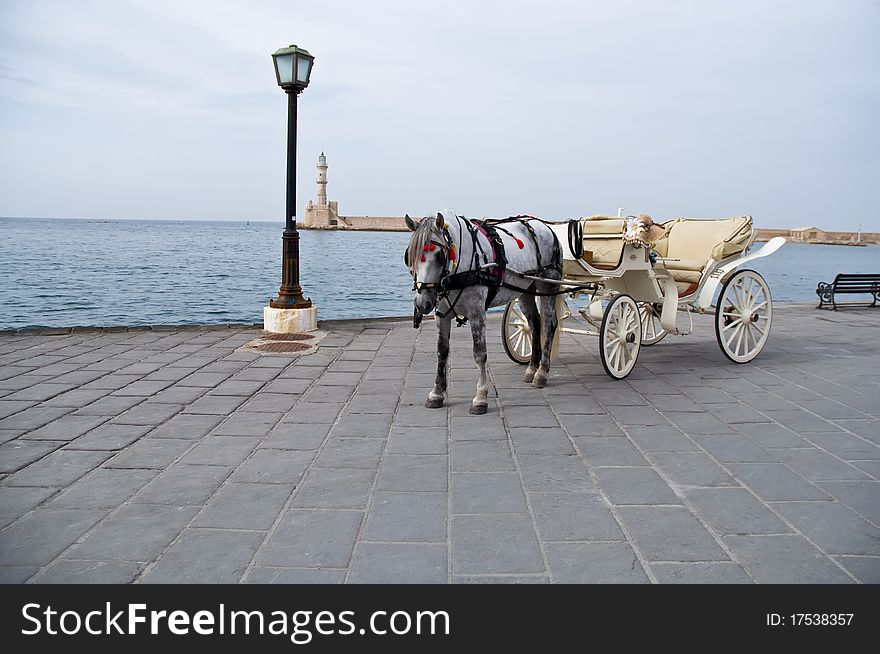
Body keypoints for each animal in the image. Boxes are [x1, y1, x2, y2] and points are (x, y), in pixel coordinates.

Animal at [402, 210, 560, 416]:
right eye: (410, 255)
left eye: (439, 255)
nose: (422, 303)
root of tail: (546, 227)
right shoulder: (441, 314)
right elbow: (442, 351)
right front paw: (436, 393)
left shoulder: (477, 313)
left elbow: (480, 353)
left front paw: (480, 398)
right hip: (526, 290)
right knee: (534, 323)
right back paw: (532, 368)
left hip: (548, 285)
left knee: (549, 324)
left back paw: (542, 373)